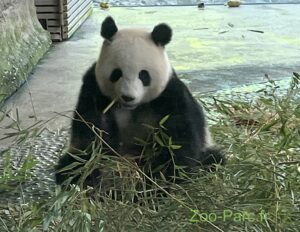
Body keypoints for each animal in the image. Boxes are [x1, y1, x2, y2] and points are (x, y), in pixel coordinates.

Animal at [55, 16, 224, 186]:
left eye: (144, 75)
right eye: (116, 73)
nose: (128, 97)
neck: (133, 107)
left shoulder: (169, 94)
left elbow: (179, 134)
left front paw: (163, 175)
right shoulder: (94, 89)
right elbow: (91, 127)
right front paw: (92, 169)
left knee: (213, 159)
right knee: (69, 164)